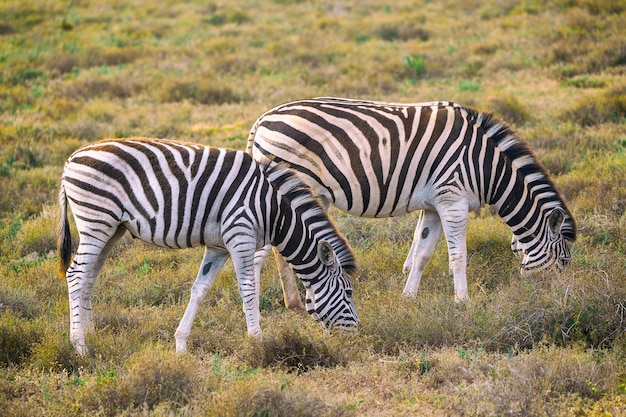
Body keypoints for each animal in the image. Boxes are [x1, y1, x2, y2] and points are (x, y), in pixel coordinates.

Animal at [59, 138, 360, 352]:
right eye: (348, 292)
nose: (357, 335)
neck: (272, 211)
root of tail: (71, 158)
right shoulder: (240, 235)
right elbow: (248, 289)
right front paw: (258, 341)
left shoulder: (219, 247)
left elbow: (199, 290)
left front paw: (180, 345)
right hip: (96, 220)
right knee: (76, 275)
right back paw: (80, 345)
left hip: (112, 228)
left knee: (89, 276)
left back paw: (91, 333)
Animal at [247, 97, 576, 306]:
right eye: (563, 261)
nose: (562, 297)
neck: (486, 167)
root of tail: (262, 120)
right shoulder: (453, 201)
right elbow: (458, 256)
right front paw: (463, 302)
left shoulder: (433, 206)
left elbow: (422, 254)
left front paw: (408, 297)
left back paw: (294, 302)